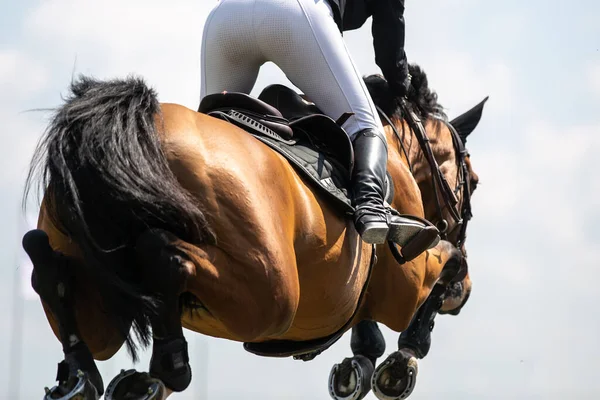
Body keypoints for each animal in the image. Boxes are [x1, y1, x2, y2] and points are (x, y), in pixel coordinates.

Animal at [21, 64, 486, 398]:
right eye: (475, 182)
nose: (464, 295)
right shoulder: (405, 284)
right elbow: (447, 266)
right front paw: (398, 365)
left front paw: (360, 364)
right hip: (270, 297)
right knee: (166, 258)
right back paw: (166, 368)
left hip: (103, 303)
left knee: (52, 270)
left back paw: (83, 376)